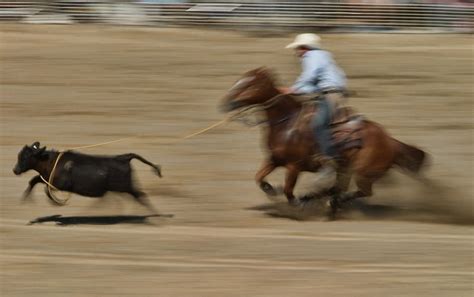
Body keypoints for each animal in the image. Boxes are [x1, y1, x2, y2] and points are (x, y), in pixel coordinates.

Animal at [221, 67, 426, 214]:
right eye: (238, 81)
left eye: (247, 85)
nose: (225, 104)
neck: (287, 123)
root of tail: (390, 140)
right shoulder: (274, 160)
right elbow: (259, 177)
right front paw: (271, 189)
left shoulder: (294, 166)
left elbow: (288, 189)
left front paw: (295, 202)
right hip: (345, 167)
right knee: (339, 187)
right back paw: (319, 198)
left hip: (363, 172)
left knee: (362, 191)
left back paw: (326, 201)